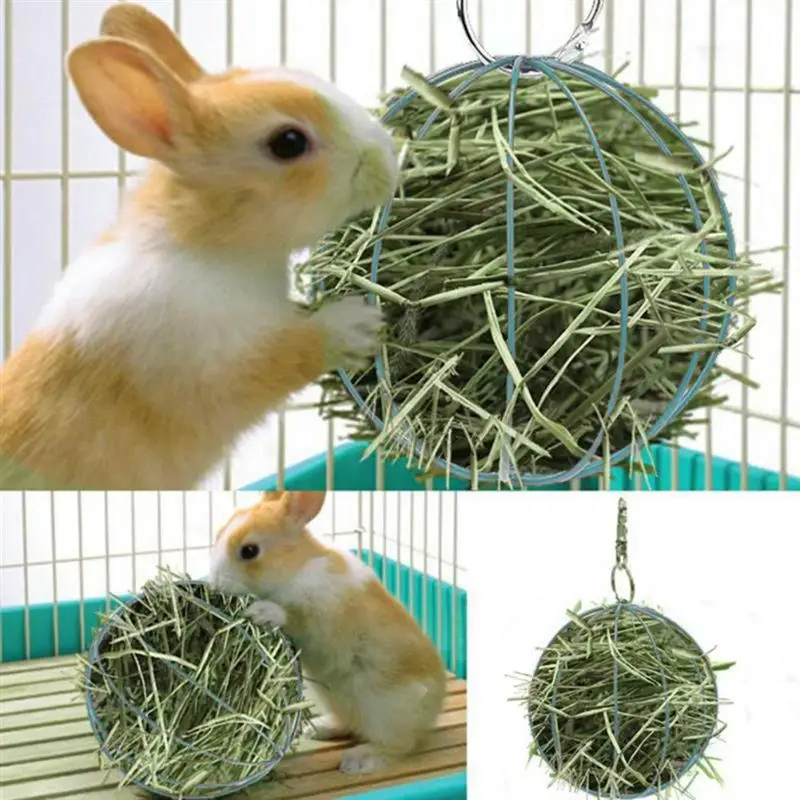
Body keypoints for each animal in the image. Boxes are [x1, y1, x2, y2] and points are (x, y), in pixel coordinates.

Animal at [0, 3, 398, 490]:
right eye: (288, 142)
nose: (388, 158)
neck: (206, 243)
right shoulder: (218, 360)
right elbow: (292, 351)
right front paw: (359, 322)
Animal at [209, 491, 448, 775]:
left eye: (249, 551)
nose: (213, 582)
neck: (295, 568)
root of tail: (434, 710)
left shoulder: (322, 617)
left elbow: (293, 617)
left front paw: (261, 612)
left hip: (384, 710)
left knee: (400, 745)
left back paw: (358, 760)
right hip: (333, 698)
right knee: (350, 724)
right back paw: (317, 729)